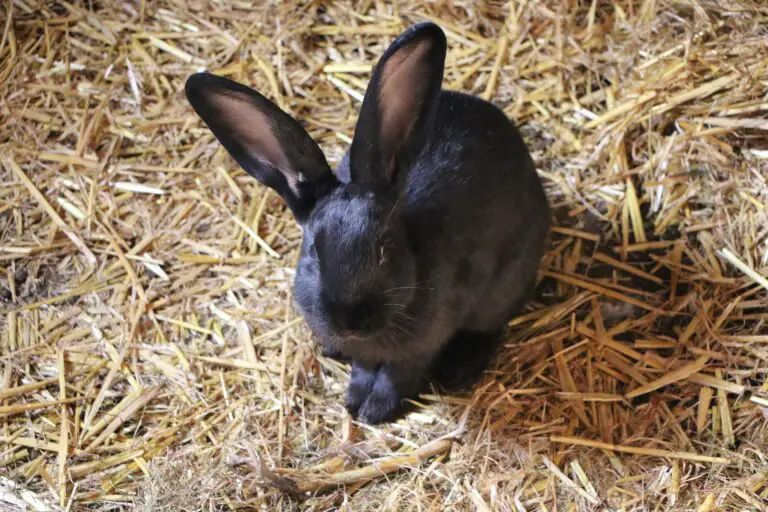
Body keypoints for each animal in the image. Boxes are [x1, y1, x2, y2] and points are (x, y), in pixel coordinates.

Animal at [185, 22, 550, 424]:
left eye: (384, 248)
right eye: (313, 253)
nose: (350, 320)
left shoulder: (420, 347)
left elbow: (397, 374)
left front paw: (374, 410)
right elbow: (364, 366)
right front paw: (356, 400)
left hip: (507, 281)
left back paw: (457, 368)